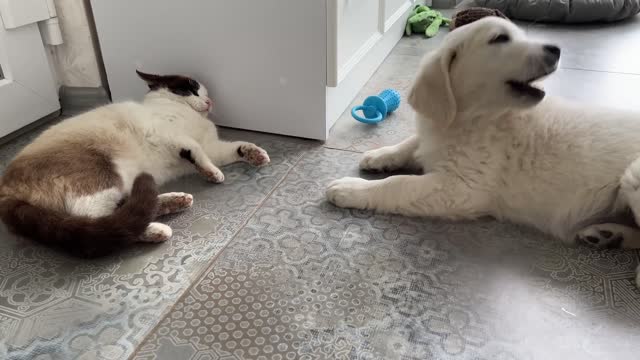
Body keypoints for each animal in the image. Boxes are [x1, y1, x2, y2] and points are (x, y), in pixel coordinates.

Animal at [0, 70, 270, 258]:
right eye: (191, 90)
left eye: (203, 92)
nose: (209, 101)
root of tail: (5, 187)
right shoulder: (170, 135)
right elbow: (198, 151)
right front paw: (213, 173)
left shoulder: (212, 146)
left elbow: (234, 148)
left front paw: (256, 155)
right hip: (102, 174)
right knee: (98, 219)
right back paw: (157, 229)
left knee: (130, 205)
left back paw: (176, 201)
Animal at [328, 18, 640, 286]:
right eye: (500, 38)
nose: (556, 49)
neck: (476, 118)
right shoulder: (435, 136)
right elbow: (411, 143)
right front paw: (379, 155)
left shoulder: (461, 188)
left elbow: (398, 184)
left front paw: (350, 188)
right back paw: (607, 235)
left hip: (633, 175)